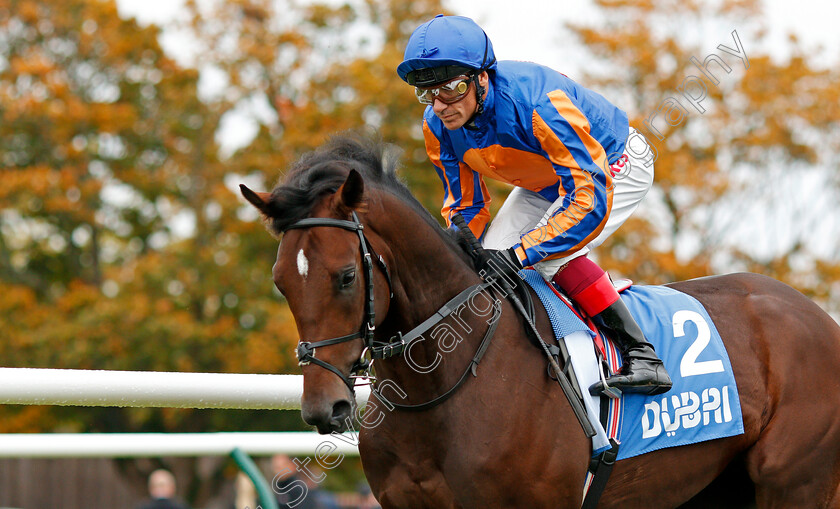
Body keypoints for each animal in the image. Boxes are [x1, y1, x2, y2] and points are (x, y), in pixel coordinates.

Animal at [240, 133, 840, 506]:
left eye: (345, 276)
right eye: (280, 280)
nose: (325, 408)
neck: (439, 387)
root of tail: (817, 315)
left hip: (795, 484)